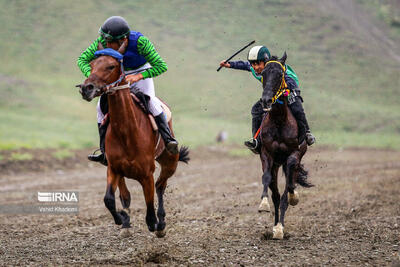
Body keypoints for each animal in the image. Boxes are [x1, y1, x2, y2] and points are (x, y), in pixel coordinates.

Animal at [79, 44, 191, 239]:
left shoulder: (146, 174)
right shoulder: (114, 168)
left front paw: (153, 223)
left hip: (170, 162)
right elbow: (110, 199)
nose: (87, 88)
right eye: (92, 65)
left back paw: (161, 224)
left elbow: (149, 203)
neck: (126, 131)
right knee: (128, 194)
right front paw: (121, 219)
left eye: (111, 66)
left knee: (160, 186)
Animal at [258, 52, 310, 241]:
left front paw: (294, 197)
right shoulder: (267, 154)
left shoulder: (293, 154)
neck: (280, 120)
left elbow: (289, 188)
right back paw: (275, 226)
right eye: (263, 73)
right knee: (276, 194)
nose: (266, 100)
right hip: (275, 164)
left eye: (280, 74)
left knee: (289, 186)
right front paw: (263, 204)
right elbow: (266, 179)